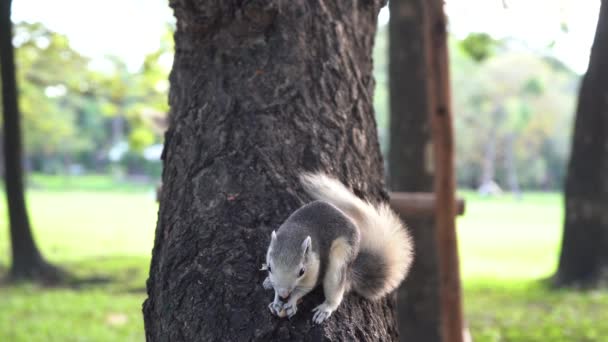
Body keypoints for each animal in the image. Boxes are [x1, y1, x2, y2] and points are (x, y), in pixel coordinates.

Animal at [262, 174, 414, 324]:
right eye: (269, 267)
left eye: (301, 271)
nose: (284, 295)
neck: (296, 233)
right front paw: (276, 300)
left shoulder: (315, 269)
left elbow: (305, 288)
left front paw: (292, 301)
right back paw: (268, 283)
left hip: (339, 262)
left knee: (335, 290)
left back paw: (325, 308)